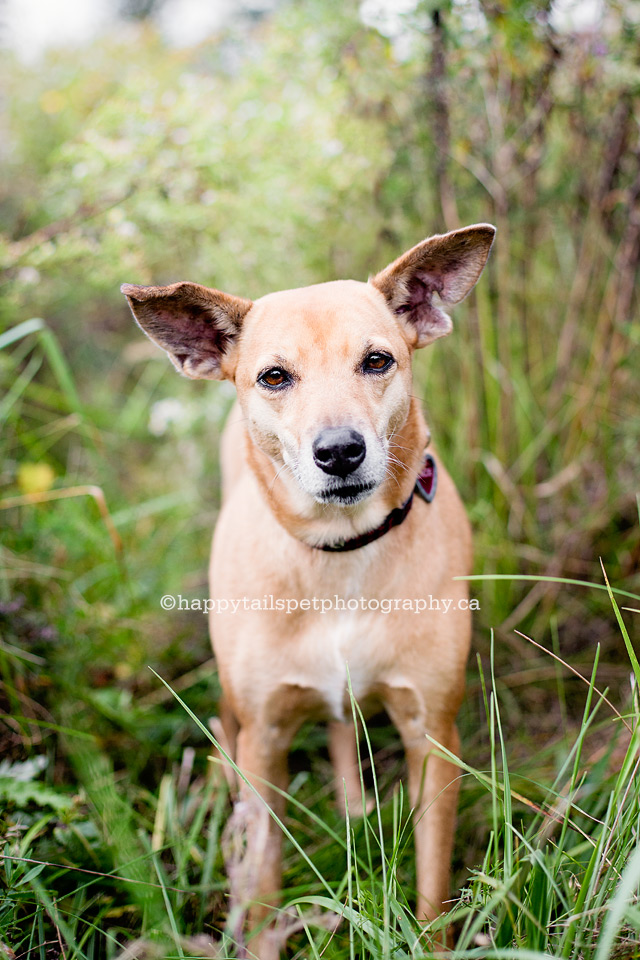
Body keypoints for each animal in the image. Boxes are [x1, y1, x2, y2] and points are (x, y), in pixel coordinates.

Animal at [124, 223, 496, 952]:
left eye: (377, 361)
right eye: (275, 376)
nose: (340, 451)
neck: (340, 554)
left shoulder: (432, 734)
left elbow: (433, 875)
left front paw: (430, 938)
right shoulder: (266, 735)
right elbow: (265, 871)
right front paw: (263, 937)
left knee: (339, 722)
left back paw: (352, 804)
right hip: (238, 698)